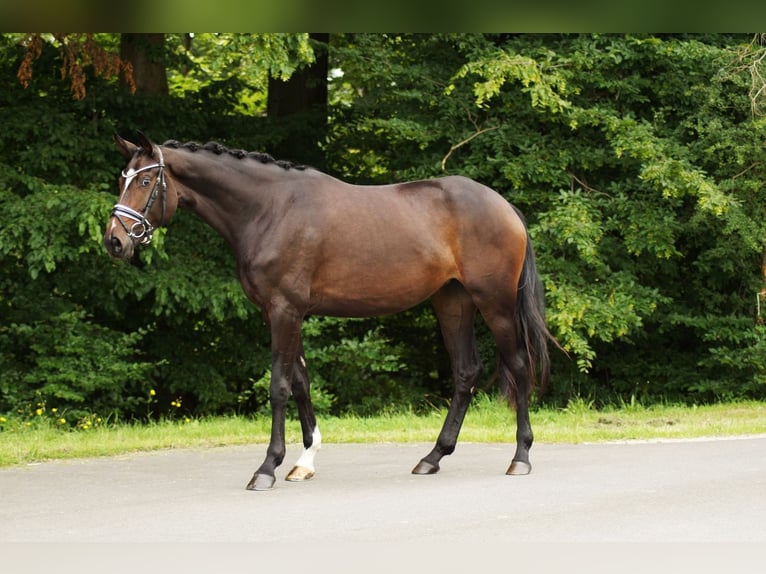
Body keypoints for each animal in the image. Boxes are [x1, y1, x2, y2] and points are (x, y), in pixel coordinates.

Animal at [104, 131, 555, 491]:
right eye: (122, 178)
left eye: (145, 180)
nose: (114, 241)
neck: (269, 208)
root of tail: (504, 207)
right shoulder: (282, 313)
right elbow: (301, 382)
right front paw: (303, 462)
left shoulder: (285, 311)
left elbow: (279, 387)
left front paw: (266, 468)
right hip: (452, 302)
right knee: (466, 372)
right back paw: (432, 458)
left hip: (495, 303)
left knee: (518, 365)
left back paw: (520, 458)